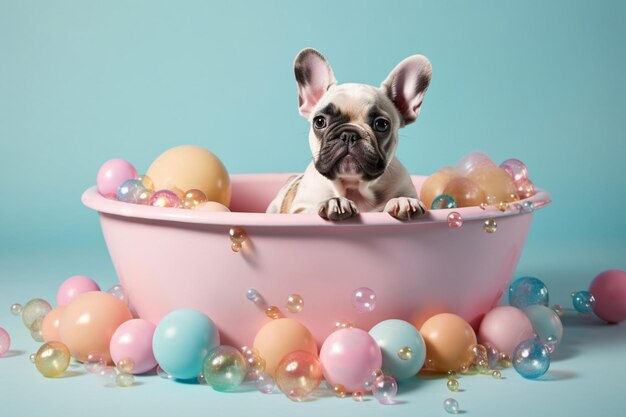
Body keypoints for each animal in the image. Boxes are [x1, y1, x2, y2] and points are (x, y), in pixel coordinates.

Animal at [266, 48, 432, 221]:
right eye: (320, 121)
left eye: (381, 124)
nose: (349, 134)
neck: (355, 189)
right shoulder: (300, 209)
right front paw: (335, 202)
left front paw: (403, 200)